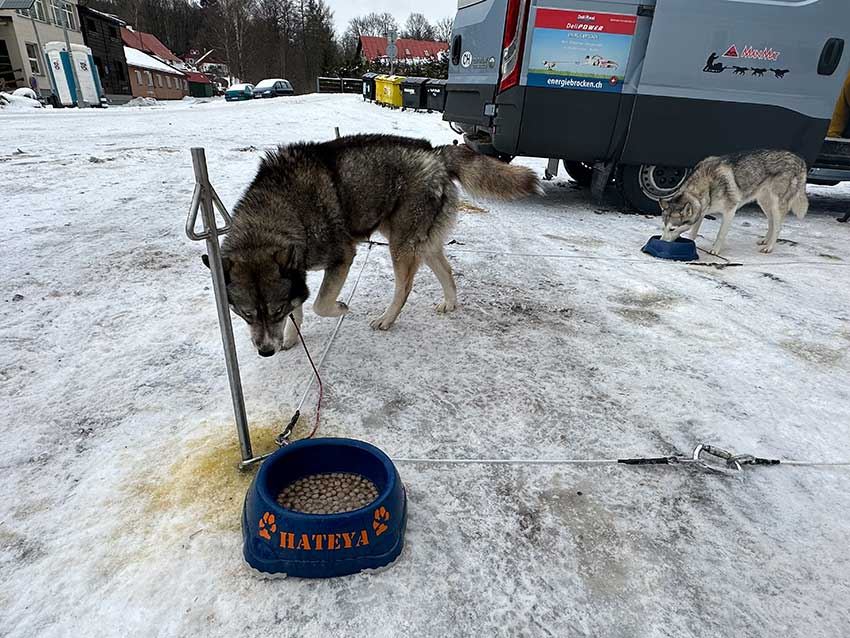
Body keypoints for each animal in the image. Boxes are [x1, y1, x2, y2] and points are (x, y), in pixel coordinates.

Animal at [208, 134, 541, 356]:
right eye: (247, 315)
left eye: (274, 311)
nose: (265, 351)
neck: (284, 207)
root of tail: (436, 153)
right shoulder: (296, 271)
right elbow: (299, 307)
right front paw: (291, 336)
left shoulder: (342, 257)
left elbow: (318, 304)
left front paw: (340, 308)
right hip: (422, 243)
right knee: (446, 271)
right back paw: (450, 303)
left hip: (401, 246)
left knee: (404, 288)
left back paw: (387, 319)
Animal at [660, 150, 809, 255]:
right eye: (663, 227)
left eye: (672, 229)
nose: (661, 242)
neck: (706, 187)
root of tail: (800, 160)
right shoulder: (702, 211)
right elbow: (693, 232)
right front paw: (691, 242)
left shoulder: (730, 211)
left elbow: (720, 234)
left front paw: (715, 250)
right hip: (765, 203)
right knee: (771, 222)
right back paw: (765, 240)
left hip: (776, 205)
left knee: (778, 227)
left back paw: (769, 247)